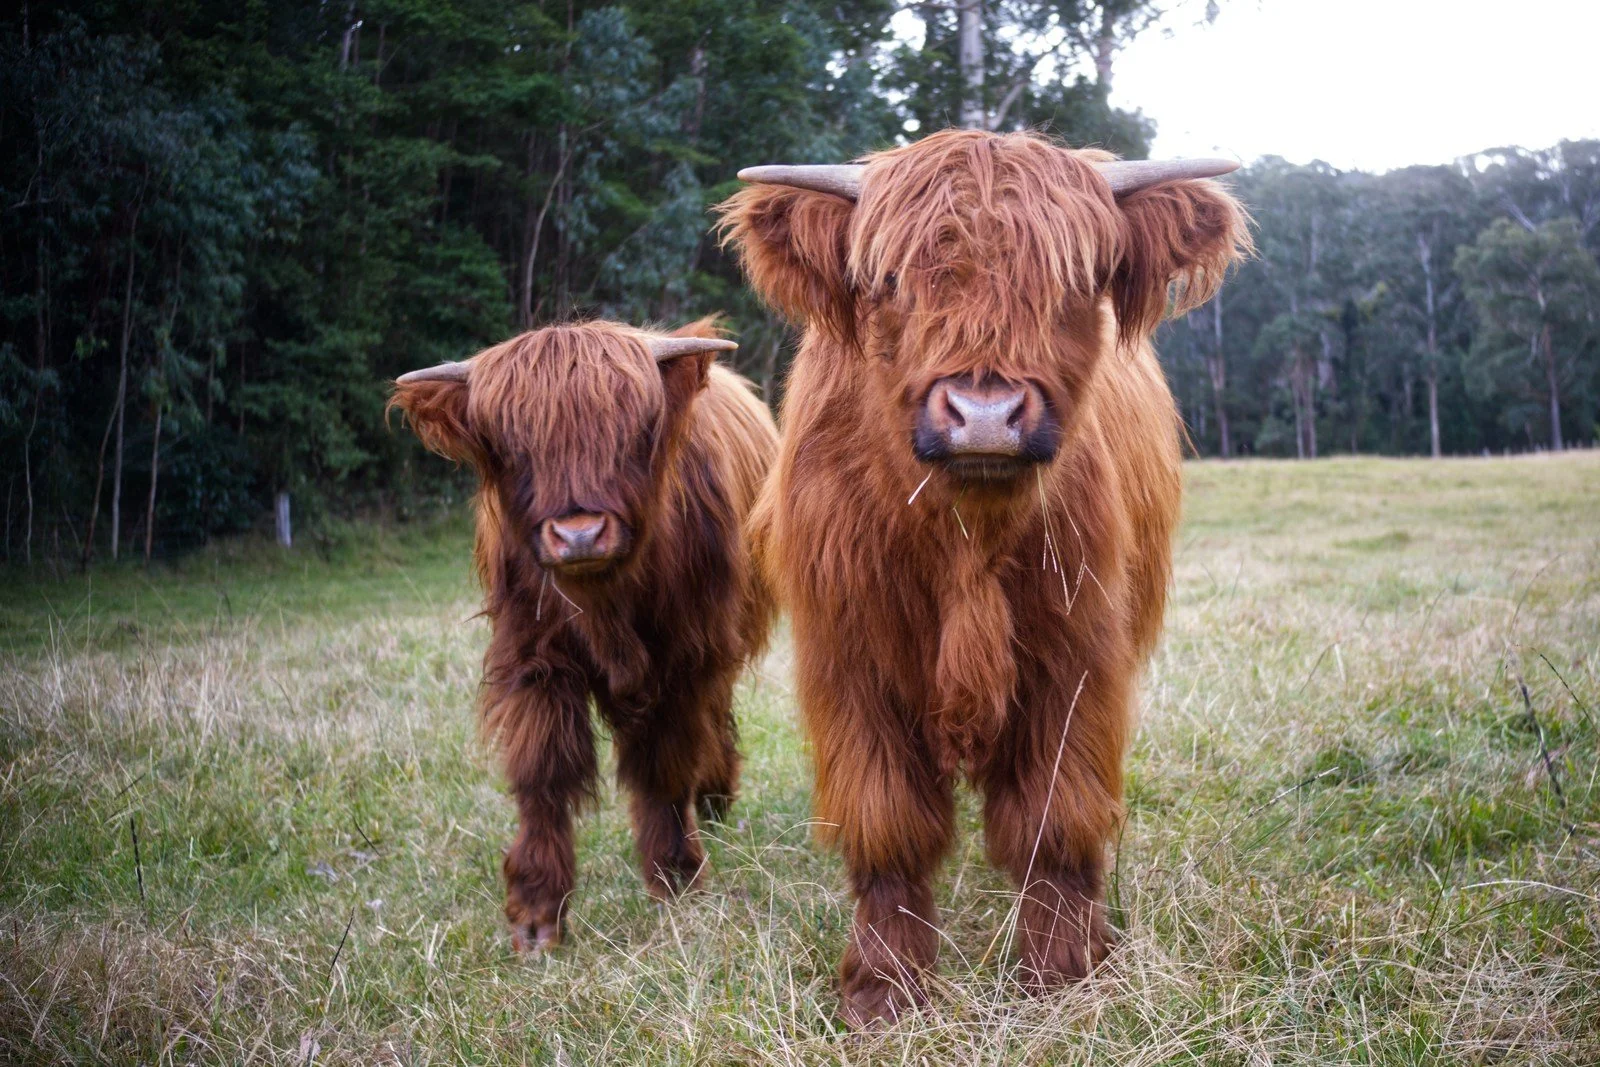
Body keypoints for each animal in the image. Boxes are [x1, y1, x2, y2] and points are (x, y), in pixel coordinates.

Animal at [389, 317, 777, 952]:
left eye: (635, 432)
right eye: (512, 447)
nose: (579, 534)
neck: (604, 606)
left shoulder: (685, 657)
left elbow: (664, 765)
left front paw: (676, 877)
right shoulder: (532, 655)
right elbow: (543, 770)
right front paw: (537, 913)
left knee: (715, 718)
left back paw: (715, 797)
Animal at [717, 129, 1250, 1026]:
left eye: (1075, 280)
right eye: (889, 280)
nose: (986, 416)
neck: (964, 535)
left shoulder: (1075, 652)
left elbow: (1053, 814)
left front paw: (1063, 965)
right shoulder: (851, 659)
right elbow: (888, 822)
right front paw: (883, 986)